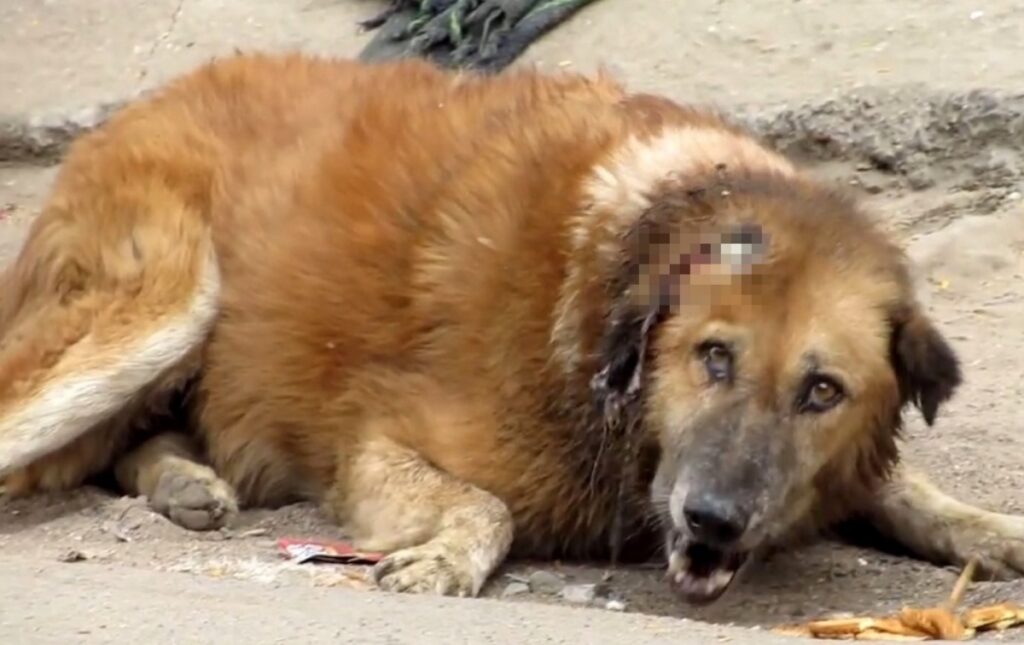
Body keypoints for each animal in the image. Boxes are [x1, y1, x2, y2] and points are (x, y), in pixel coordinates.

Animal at [2, 52, 1024, 606]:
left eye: (823, 389)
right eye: (713, 357)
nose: (715, 520)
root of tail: (138, 108)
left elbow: (908, 488)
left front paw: (991, 526)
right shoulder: (377, 440)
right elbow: (483, 504)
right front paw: (447, 559)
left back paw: (185, 480)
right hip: (165, 306)